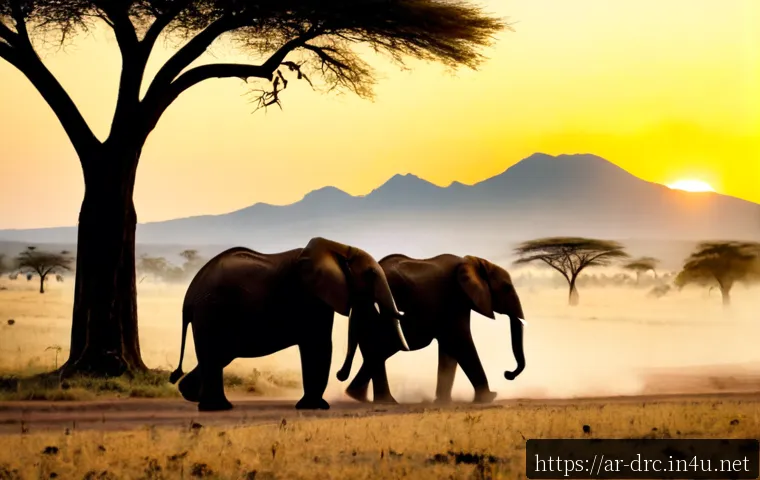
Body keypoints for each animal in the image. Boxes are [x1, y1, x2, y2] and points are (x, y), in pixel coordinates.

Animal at [168, 237, 410, 412]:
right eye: (371, 274)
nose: (340, 375)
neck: (338, 248)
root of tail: (189, 296)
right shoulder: (310, 296)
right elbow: (319, 344)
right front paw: (316, 407)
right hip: (211, 312)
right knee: (215, 354)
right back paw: (216, 408)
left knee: (218, 356)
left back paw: (194, 397)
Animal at [335, 253, 526, 405]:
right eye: (507, 287)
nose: (508, 374)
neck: (472, 262)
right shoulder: (455, 298)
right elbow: (460, 341)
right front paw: (489, 397)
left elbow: (449, 348)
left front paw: (443, 401)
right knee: (379, 350)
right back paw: (382, 401)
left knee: (376, 352)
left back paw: (360, 397)